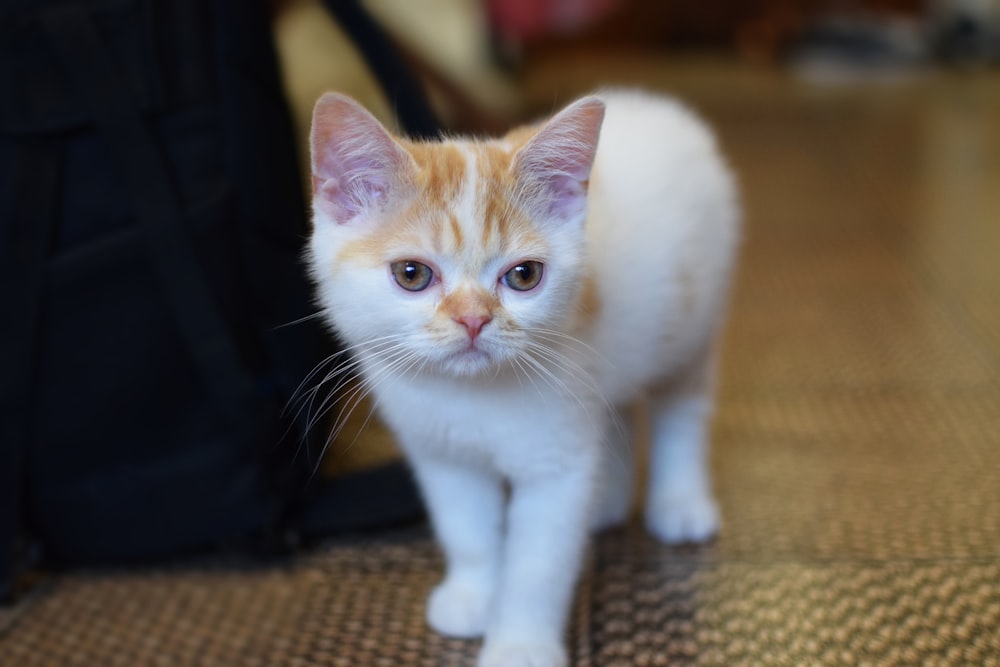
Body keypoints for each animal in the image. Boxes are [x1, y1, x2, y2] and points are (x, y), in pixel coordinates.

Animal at [308, 90, 740, 667]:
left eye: (523, 276)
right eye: (412, 275)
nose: (473, 319)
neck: (471, 396)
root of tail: (655, 104)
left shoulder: (554, 463)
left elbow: (538, 565)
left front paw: (520, 643)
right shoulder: (443, 453)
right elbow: (467, 528)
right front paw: (473, 597)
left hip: (694, 322)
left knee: (682, 410)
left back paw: (680, 503)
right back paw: (605, 500)